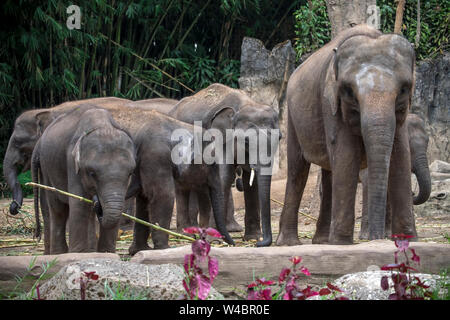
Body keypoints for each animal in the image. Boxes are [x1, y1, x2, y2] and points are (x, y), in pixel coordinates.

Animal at [32, 106, 135, 254]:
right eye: (92, 173)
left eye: (130, 173)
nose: (98, 202)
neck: (103, 125)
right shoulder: (72, 164)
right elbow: (79, 204)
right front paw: (78, 254)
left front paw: (106, 253)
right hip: (47, 169)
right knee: (57, 209)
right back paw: (60, 253)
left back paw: (90, 251)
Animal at [125, 110, 234, 255]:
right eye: (213, 164)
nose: (233, 243)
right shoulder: (156, 157)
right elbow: (163, 196)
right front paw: (164, 249)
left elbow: (144, 199)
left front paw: (139, 250)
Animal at [169, 83, 282, 248]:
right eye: (246, 141)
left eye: (279, 138)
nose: (260, 244)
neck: (245, 104)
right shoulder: (219, 139)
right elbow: (224, 177)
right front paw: (215, 240)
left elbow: (251, 182)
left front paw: (253, 237)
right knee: (182, 186)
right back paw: (185, 234)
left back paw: (196, 230)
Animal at [278, 25, 418, 245]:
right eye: (349, 91)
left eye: (404, 89)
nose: (376, 238)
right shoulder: (330, 103)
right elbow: (346, 153)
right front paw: (342, 242)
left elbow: (401, 154)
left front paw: (409, 239)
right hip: (292, 117)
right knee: (297, 170)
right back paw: (289, 243)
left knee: (328, 174)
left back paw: (321, 241)